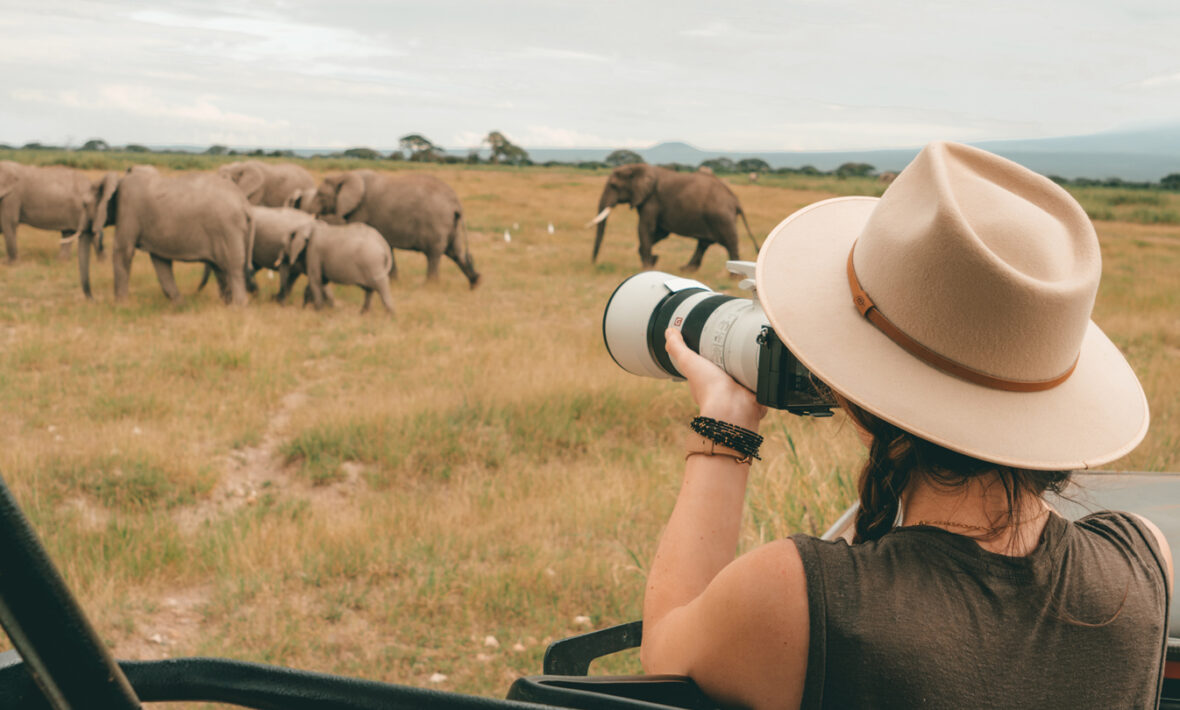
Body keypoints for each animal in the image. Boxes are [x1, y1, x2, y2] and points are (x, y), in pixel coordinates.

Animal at [83, 166, 258, 304]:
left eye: (84, 205)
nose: (94, 300)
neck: (118, 181)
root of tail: (245, 205)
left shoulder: (128, 209)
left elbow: (123, 251)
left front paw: (120, 306)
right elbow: (161, 262)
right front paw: (181, 304)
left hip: (228, 229)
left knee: (233, 267)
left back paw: (237, 307)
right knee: (221, 268)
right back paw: (227, 304)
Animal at [297, 169, 481, 287]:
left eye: (320, 195)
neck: (345, 175)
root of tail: (456, 204)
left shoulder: (362, 211)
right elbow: (387, 245)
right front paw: (393, 282)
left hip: (437, 222)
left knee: (434, 254)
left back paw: (430, 286)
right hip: (451, 224)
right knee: (456, 253)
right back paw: (475, 283)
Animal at [590, 162, 764, 271]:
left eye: (613, 186)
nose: (594, 264)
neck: (638, 167)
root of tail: (735, 200)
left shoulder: (651, 199)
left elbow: (646, 228)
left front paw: (647, 268)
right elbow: (660, 233)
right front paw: (653, 261)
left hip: (721, 217)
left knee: (729, 242)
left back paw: (733, 278)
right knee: (704, 243)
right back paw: (686, 270)